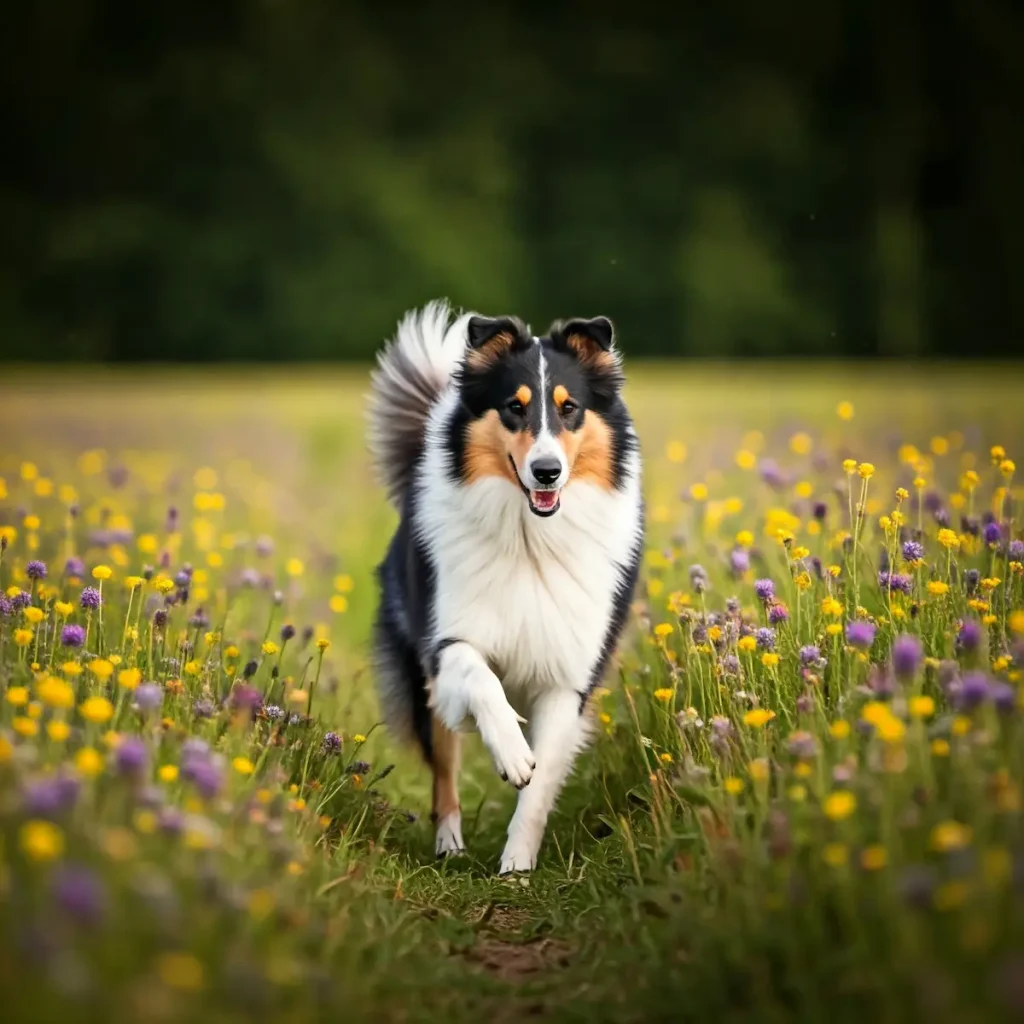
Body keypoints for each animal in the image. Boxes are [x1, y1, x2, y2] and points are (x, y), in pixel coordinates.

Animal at [366, 301, 638, 872]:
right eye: (514, 408)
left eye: (570, 408)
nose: (547, 472)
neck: (531, 538)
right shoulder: (445, 643)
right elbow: (482, 679)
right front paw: (512, 752)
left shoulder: (567, 679)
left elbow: (537, 792)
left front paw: (516, 870)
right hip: (424, 686)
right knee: (444, 777)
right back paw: (449, 847)